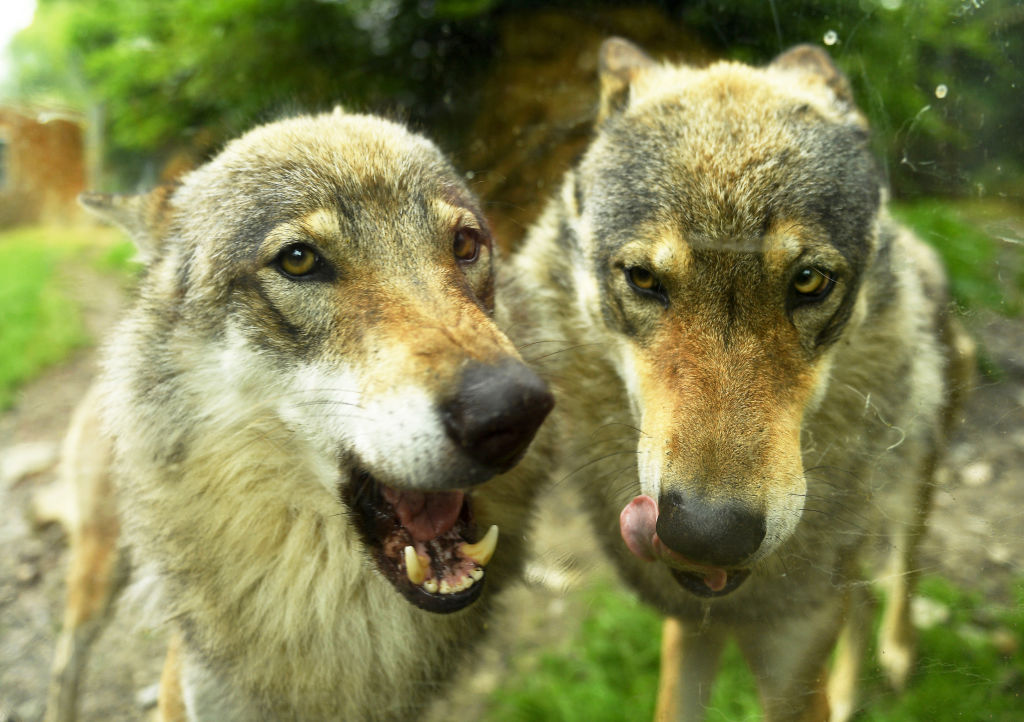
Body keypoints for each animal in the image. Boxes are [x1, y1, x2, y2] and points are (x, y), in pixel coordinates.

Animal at [508, 38, 974, 721]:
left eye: (808, 281)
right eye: (644, 279)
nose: (708, 534)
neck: (738, 607)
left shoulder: (794, 653)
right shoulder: (691, 627)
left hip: (916, 476)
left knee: (901, 567)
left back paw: (896, 654)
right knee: (862, 591)